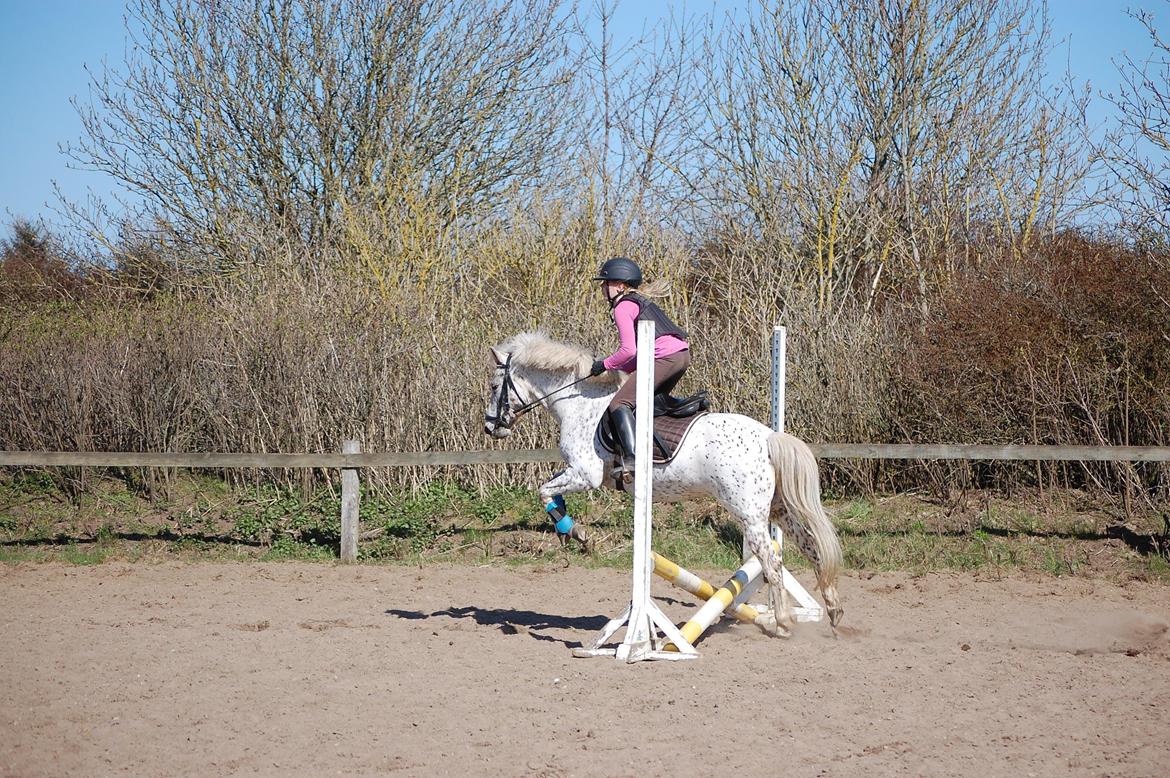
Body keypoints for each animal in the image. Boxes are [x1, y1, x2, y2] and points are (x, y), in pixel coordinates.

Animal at [482, 331, 844, 636]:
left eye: (494, 386)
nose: (490, 428)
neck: (580, 402)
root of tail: (769, 436)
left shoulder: (585, 474)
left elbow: (543, 490)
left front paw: (578, 534)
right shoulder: (576, 473)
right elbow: (547, 492)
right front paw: (572, 533)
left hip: (750, 514)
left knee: (772, 561)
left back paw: (782, 622)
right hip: (778, 509)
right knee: (810, 546)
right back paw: (833, 610)